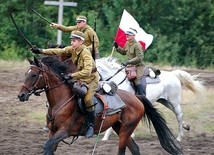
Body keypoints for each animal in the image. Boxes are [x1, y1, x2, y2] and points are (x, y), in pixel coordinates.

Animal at [17, 56, 183, 155]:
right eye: (26, 74)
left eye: (34, 75)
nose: (21, 95)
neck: (61, 101)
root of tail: (136, 98)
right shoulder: (53, 132)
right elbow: (49, 148)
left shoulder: (64, 131)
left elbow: (47, 146)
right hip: (120, 128)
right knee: (135, 148)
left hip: (126, 130)